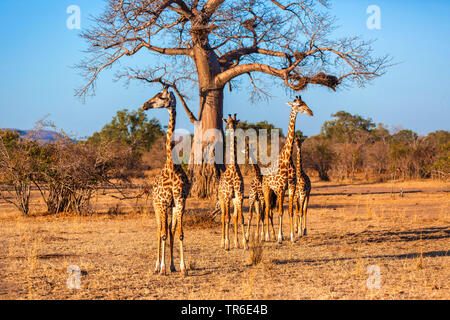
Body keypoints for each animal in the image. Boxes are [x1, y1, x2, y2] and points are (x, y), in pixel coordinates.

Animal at [260, 95, 312, 242]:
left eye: (305, 103)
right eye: (298, 105)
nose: (311, 112)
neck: (287, 158)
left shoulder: (292, 186)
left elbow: (291, 211)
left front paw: (293, 237)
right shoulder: (281, 187)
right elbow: (280, 211)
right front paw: (280, 237)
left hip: (274, 191)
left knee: (270, 210)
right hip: (267, 189)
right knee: (267, 210)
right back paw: (266, 236)